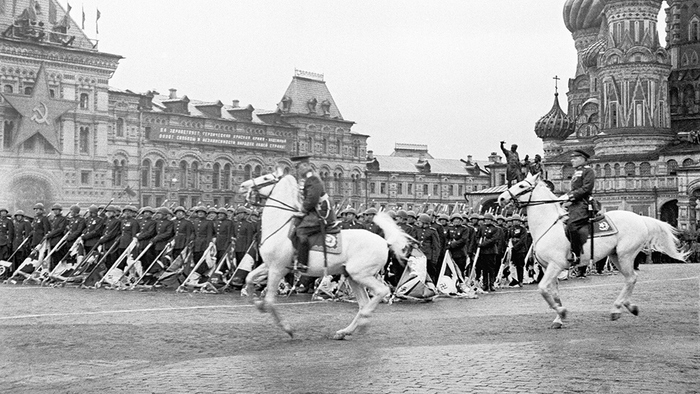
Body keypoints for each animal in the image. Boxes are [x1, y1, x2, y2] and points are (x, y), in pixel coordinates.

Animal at [238, 168, 412, 338]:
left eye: (266, 177)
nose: (243, 186)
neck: (280, 228)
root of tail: (384, 241)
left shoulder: (277, 269)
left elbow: (269, 301)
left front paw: (286, 328)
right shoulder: (269, 266)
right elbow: (249, 278)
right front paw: (257, 303)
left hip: (361, 274)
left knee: (381, 292)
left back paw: (364, 319)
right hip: (353, 277)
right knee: (363, 303)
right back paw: (346, 331)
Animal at [494, 174, 688, 328]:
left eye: (522, 186)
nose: (501, 198)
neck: (548, 225)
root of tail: (640, 218)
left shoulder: (555, 265)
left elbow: (542, 289)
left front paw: (562, 312)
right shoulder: (549, 267)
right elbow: (553, 294)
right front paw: (558, 319)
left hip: (625, 255)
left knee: (631, 278)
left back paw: (618, 309)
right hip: (615, 256)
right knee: (630, 278)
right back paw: (627, 307)